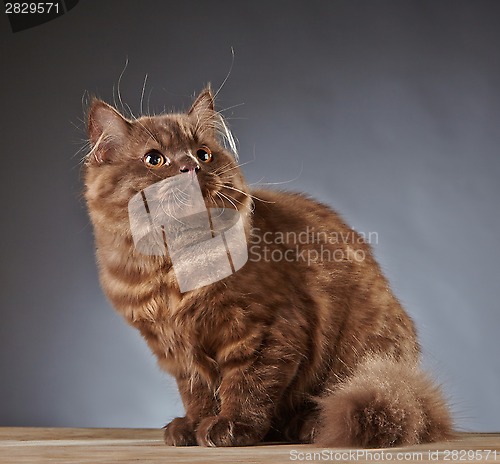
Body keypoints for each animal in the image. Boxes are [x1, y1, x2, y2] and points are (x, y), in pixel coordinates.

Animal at [85, 85, 454, 448]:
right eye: (154, 159)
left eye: (203, 154)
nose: (190, 167)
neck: (170, 266)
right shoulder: (177, 350)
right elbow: (197, 394)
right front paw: (192, 427)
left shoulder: (267, 329)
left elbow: (247, 385)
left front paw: (230, 427)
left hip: (359, 357)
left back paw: (308, 426)